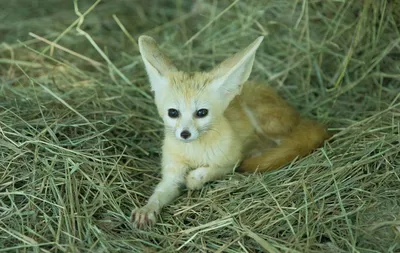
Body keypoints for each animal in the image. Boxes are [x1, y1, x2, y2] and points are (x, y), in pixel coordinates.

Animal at [131, 35, 328, 227]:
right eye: (173, 113)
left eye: (201, 113)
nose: (185, 134)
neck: (195, 152)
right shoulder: (172, 176)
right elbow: (158, 194)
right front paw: (146, 210)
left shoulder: (231, 162)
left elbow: (206, 172)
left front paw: (195, 178)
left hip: (265, 123)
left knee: (288, 144)